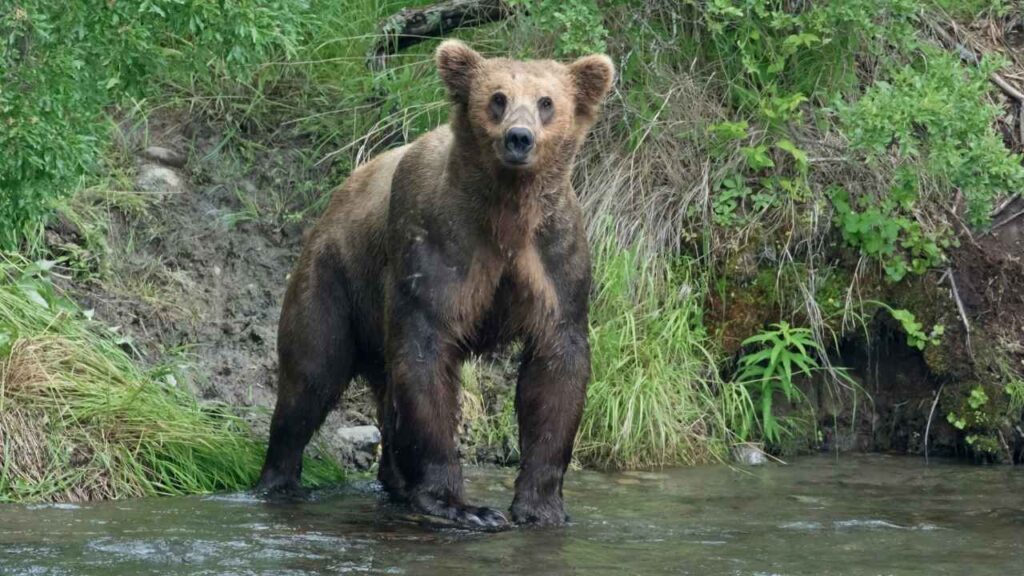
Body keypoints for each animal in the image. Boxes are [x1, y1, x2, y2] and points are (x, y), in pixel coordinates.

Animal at [256, 40, 615, 529]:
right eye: (497, 98)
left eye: (547, 102)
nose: (518, 138)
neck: (506, 212)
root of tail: (335, 197)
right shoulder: (438, 242)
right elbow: (425, 357)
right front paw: (464, 507)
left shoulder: (555, 258)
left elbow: (556, 367)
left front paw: (542, 507)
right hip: (334, 279)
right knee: (310, 376)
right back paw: (280, 480)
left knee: (383, 392)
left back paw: (395, 481)